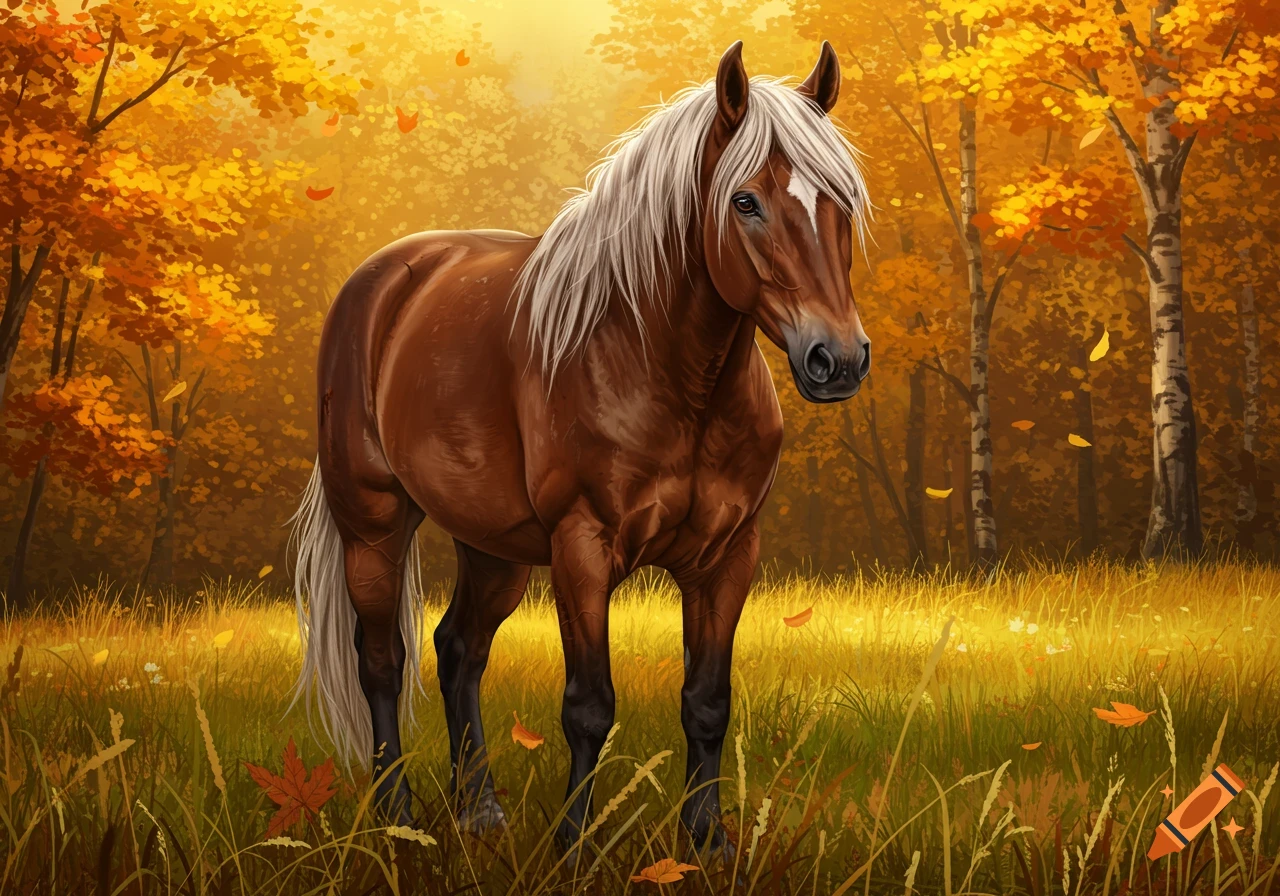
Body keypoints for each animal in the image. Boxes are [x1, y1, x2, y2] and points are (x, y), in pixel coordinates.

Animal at [291, 40, 872, 858]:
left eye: (841, 200)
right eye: (745, 201)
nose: (838, 359)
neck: (665, 371)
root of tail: (380, 282)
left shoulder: (728, 556)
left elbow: (707, 701)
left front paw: (708, 842)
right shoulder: (583, 549)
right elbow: (588, 705)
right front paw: (573, 843)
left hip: (493, 548)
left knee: (459, 649)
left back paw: (479, 812)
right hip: (373, 522)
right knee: (381, 661)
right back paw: (397, 817)